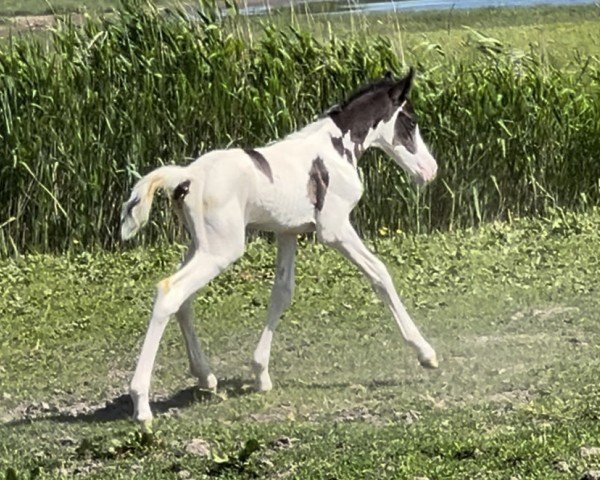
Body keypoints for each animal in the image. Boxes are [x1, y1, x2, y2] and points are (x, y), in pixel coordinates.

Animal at [123, 68, 440, 424]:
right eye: (410, 121)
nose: (430, 170)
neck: (333, 150)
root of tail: (185, 177)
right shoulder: (334, 229)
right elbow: (380, 274)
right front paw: (426, 354)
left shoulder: (287, 232)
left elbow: (282, 292)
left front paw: (261, 374)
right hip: (220, 249)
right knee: (169, 292)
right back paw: (142, 405)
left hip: (200, 246)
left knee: (184, 300)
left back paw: (206, 377)